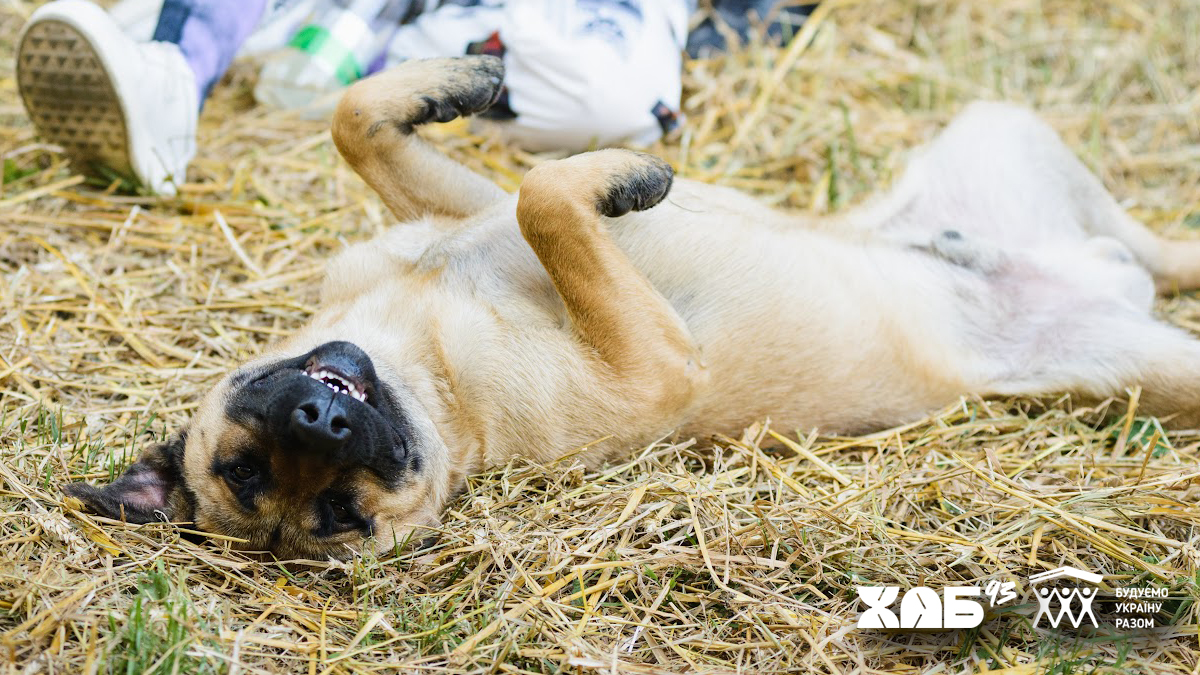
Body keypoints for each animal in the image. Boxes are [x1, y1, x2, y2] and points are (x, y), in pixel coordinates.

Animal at [65, 55, 1200, 554]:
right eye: (331, 511)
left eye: (241, 461)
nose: (321, 419)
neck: (430, 366)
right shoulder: (651, 358)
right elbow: (549, 199)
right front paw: (617, 175)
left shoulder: (453, 209)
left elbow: (366, 122)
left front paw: (457, 81)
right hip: (1157, 367)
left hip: (1010, 136)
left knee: (1159, 245)